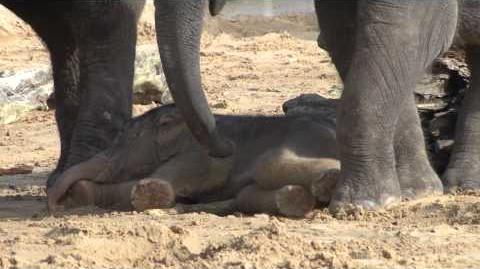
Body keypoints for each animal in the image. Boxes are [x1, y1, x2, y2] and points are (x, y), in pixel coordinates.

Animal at [47, 103, 338, 217]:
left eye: (122, 142)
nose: (55, 203)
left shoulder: (200, 156)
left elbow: (160, 183)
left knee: (269, 165)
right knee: (250, 191)